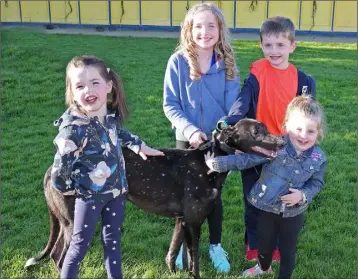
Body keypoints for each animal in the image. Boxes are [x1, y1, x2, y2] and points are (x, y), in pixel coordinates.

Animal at [25, 119, 284, 278]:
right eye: (257, 131)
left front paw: (173, 271)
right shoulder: (194, 222)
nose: (282, 141)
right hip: (74, 223)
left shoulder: (182, 221)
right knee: (60, 258)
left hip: (65, 223)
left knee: (56, 255)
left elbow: (172, 254)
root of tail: (51, 170)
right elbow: (194, 260)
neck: (210, 161)